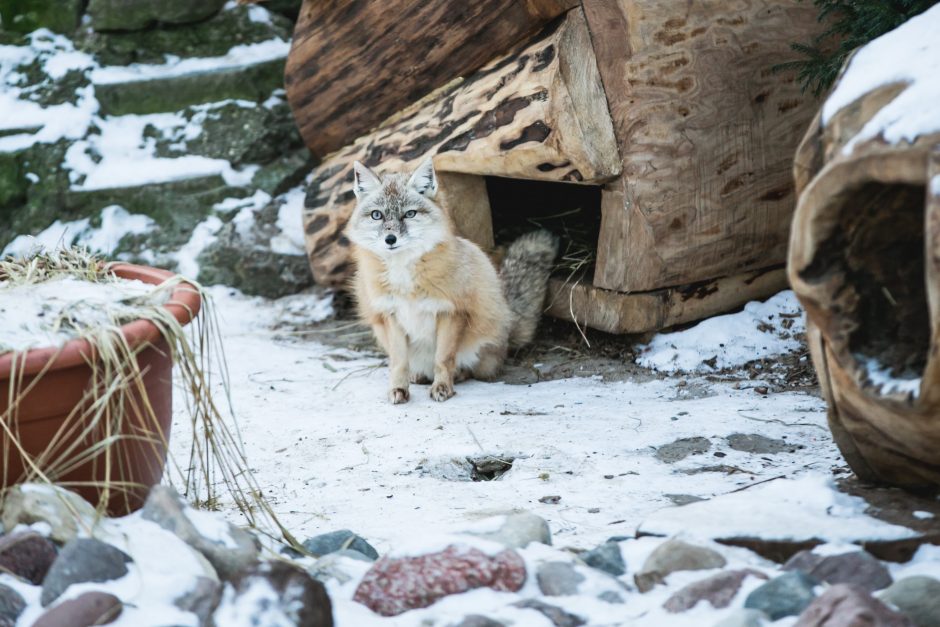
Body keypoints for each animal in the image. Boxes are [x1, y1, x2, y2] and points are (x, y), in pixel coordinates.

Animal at [346, 159, 560, 404]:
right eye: (377, 215)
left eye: (409, 214)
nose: (390, 239)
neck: (405, 276)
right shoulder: (391, 314)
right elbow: (399, 362)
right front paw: (399, 388)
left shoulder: (451, 312)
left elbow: (444, 359)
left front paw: (442, 387)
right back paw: (418, 375)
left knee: (471, 369)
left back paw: (456, 375)